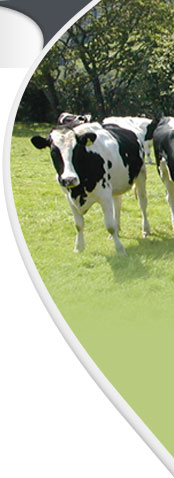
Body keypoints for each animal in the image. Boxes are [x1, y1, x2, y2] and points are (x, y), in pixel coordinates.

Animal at [31, 120, 151, 254]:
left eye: (77, 149)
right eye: (53, 151)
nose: (69, 179)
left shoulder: (104, 195)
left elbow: (109, 225)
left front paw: (120, 249)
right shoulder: (68, 197)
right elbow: (78, 225)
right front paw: (79, 247)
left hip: (141, 174)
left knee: (142, 203)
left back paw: (145, 229)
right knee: (118, 203)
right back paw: (118, 228)